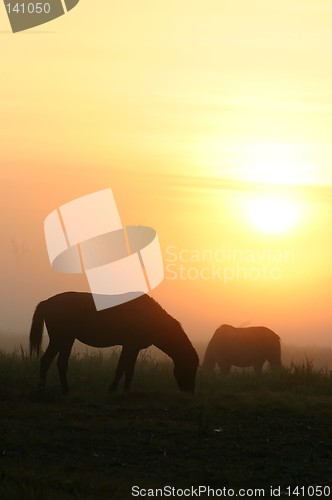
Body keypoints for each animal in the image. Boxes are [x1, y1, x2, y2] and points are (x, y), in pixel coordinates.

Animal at [29, 292, 197, 394]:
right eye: (191, 368)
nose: (190, 391)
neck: (150, 317)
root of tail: (47, 302)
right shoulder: (129, 345)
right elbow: (121, 368)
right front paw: (112, 390)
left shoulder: (133, 348)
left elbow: (129, 371)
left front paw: (125, 391)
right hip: (63, 339)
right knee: (56, 362)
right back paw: (58, 390)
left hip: (62, 340)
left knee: (50, 361)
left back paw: (48, 389)